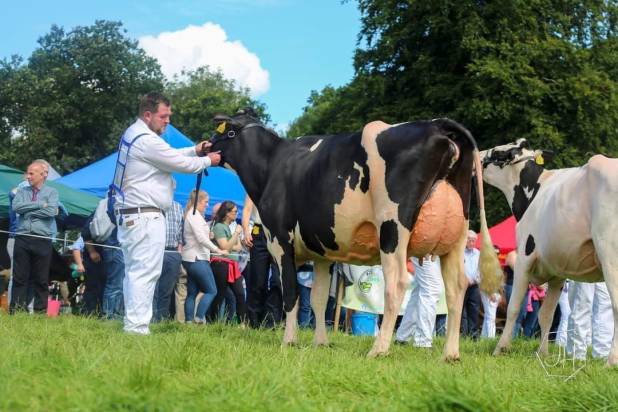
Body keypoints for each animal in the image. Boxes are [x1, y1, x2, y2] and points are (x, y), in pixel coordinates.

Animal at [209, 108, 498, 358]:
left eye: (223, 132)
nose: (205, 145)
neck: (271, 164)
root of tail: (437, 124)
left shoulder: (280, 240)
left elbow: (290, 294)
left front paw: (288, 341)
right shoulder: (322, 253)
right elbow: (318, 298)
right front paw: (321, 342)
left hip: (393, 229)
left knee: (397, 283)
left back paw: (379, 350)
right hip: (457, 235)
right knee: (456, 287)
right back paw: (450, 354)